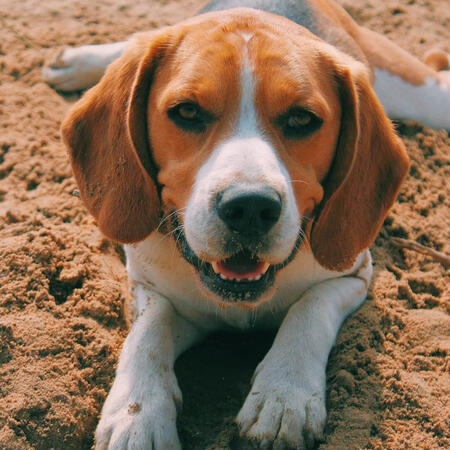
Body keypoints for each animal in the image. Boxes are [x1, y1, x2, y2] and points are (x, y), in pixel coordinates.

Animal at [43, 0, 450, 448]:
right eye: (187, 112)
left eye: (302, 119)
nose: (250, 207)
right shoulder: (149, 288)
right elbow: (147, 333)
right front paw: (138, 414)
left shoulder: (352, 275)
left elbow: (310, 309)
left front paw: (284, 394)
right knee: (142, 37)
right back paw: (82, 61)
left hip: (427, 96)